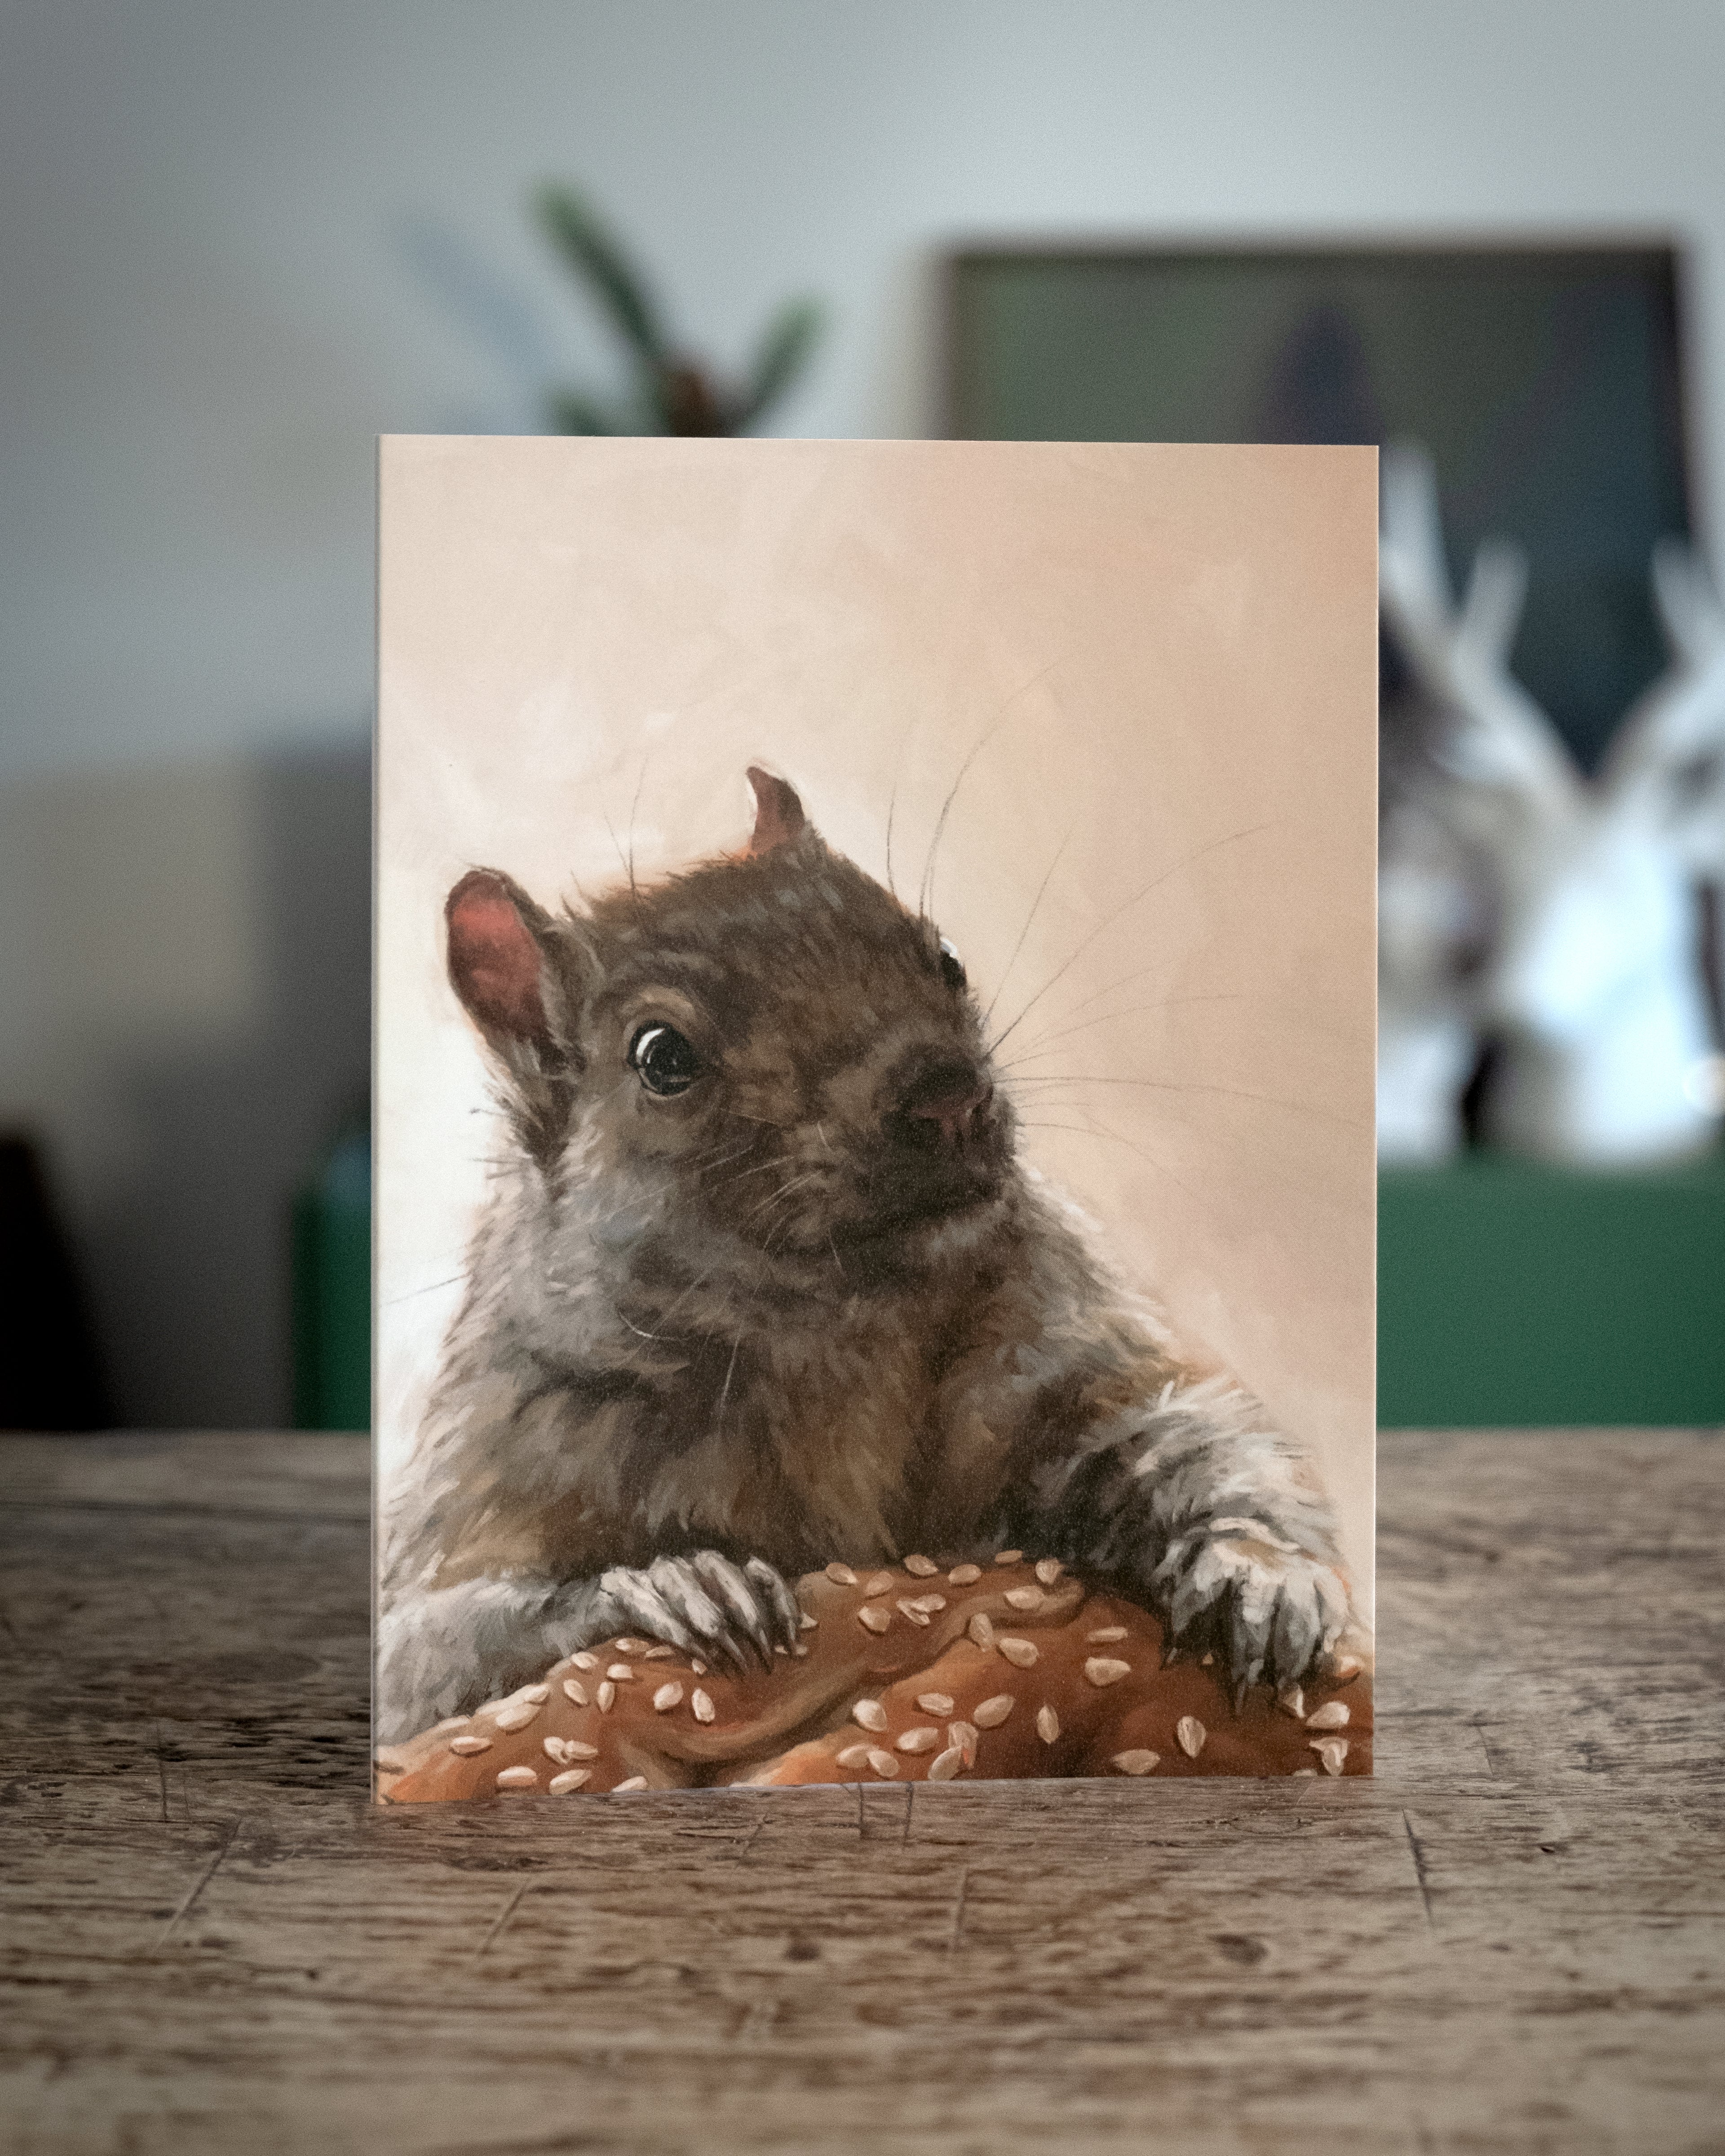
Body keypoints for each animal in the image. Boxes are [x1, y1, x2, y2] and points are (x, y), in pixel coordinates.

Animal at [376, 768, 1351, 1743]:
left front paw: (1263, 1575)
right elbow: (426, 1653)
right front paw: (679, 1584)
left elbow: (1196, 1435)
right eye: (662, 1056)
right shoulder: (506, 1451)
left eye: (946, 957)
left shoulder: (1061, 1347)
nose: (949, 1095)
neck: (840, 1331)